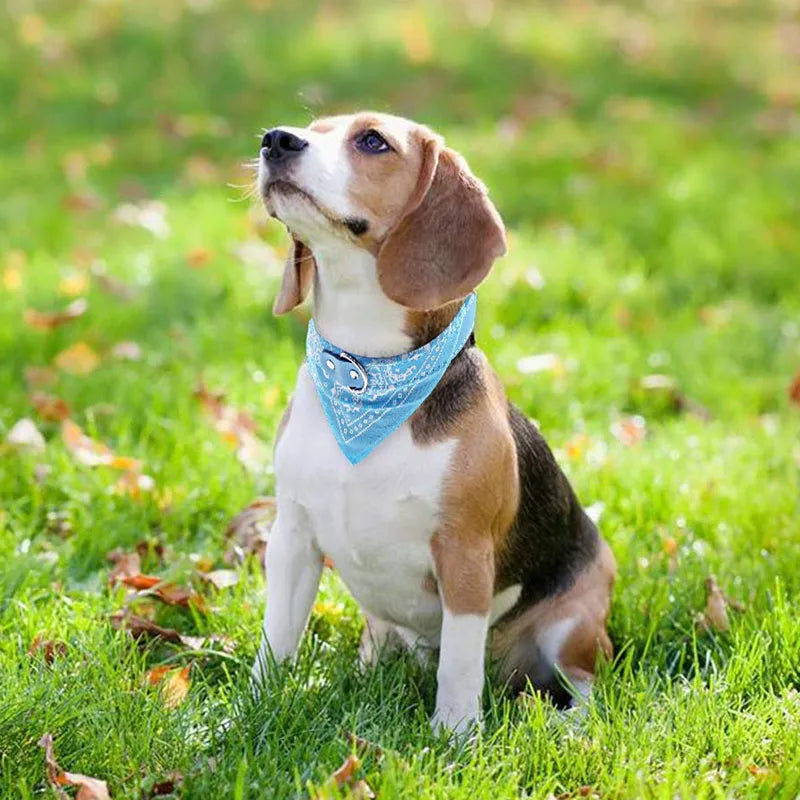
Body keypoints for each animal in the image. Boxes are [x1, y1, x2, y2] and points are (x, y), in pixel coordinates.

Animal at [253, 112, 616, 736]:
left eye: (372, 141)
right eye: (312, 127)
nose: (275, 139)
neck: (364, 371)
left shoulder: (464, 556)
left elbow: (459, 667)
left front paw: (454, 740)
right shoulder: (293, 538)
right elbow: (275, 641)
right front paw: (244, 713)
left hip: (575, 625)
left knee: (584, 684)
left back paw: (567, 727)